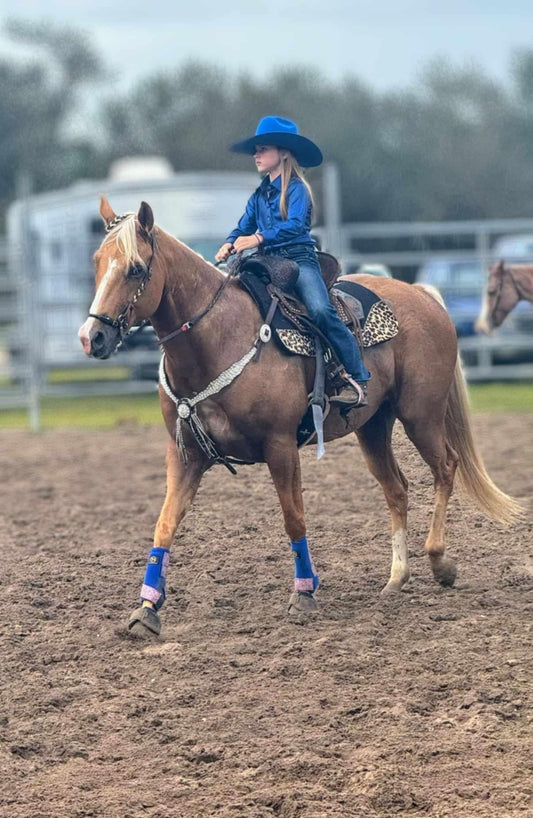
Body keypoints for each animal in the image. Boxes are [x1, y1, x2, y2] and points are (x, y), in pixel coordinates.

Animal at [79, 199, 520, 636]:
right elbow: (165, 524)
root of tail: (421, 294)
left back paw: (440, 561)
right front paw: (146, 609)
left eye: (136, 268)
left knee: (446, 467)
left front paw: (304, 594)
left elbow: (294, 519)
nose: (91, 337)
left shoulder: (281, 447)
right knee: (396, 489)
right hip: (374, 426)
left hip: (421, 415)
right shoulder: (185, 453)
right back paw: (396, 577)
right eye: (97, 261)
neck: (219, 338)